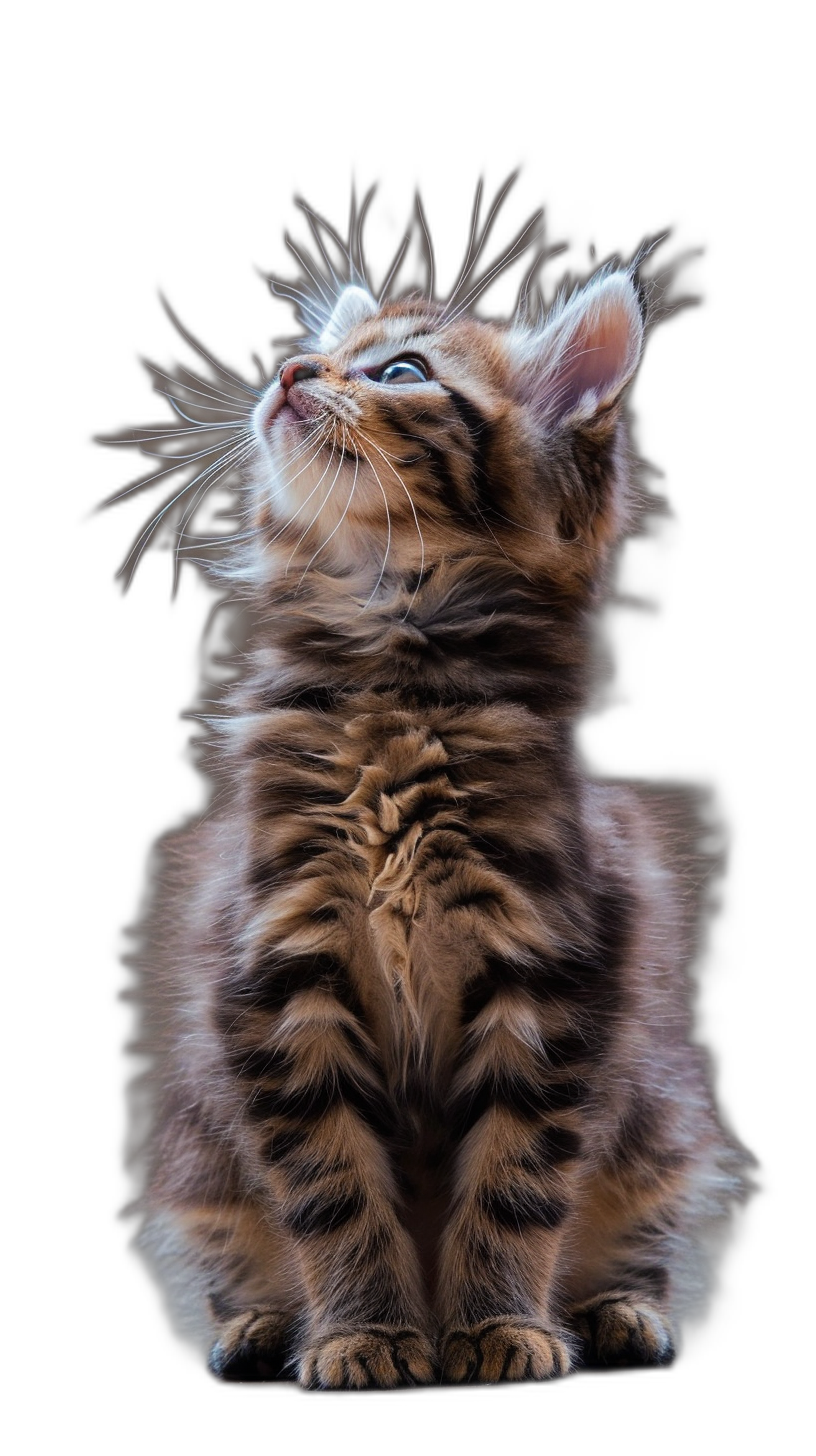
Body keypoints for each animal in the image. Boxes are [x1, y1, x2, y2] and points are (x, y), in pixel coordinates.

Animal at [115, 190, 751, 1386]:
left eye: (401, 372)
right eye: (309, 354)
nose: (291, 372)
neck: (394, 681)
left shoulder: (555, 968)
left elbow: (515, 1180)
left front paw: (497, 1325)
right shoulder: (275, 964)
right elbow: (329, 1185)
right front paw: (364, 1332)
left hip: (665, 1126)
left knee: (639, 1234)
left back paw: (617, 1313)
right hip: (196, 1165)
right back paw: (256, 1324)